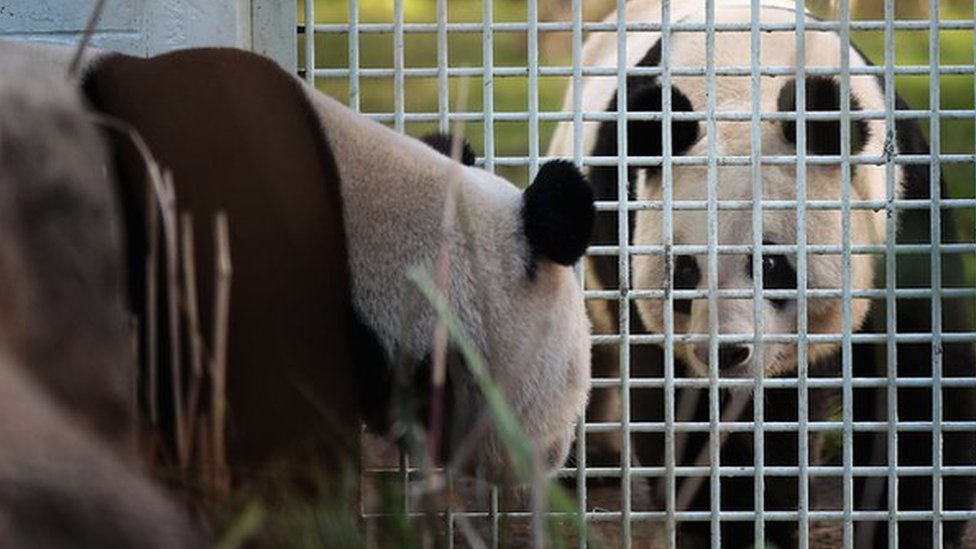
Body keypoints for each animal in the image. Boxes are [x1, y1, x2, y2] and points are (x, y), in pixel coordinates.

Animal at [548, 2, 976, 544]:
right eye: (685, 269)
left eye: (770, 263)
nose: (727, 352)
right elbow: (687, 412)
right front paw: (746, 526)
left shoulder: (901, 211)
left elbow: (918, 385)